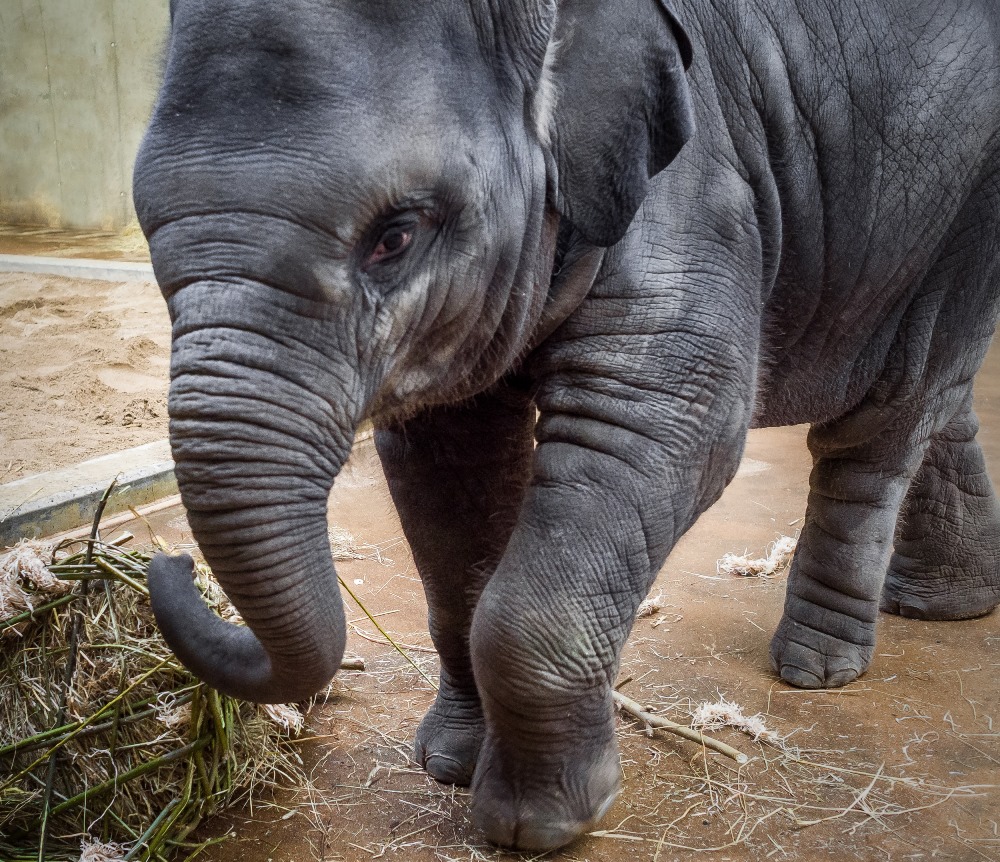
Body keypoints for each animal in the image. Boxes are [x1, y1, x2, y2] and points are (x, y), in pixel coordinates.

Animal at [135, 0, 1000, 852]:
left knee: (889, 413)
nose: (168, 563)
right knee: (937, 398)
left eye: (395, 237)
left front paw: (541, 825)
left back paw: (817, 667)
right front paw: (449, 766)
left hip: (965, 204)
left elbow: (666, 423)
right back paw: (940, 606)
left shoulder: (697, 184)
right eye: (146, 229)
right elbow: (449, 467)